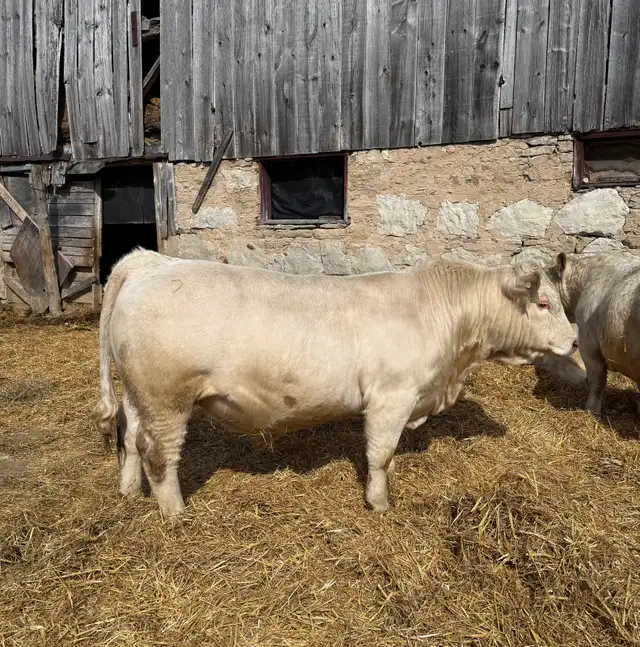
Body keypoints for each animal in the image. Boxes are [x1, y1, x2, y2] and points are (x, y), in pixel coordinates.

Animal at [93, 248, 577, 517]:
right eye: (543, 302)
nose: (574, 340)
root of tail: (149, 263)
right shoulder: (391, 396)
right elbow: (380, 453)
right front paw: (379, 502)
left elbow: (389, 454)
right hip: (167, 396)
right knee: (160, 454)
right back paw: (175, 513)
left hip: (139, 393)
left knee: (130, 436)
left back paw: (129, 491)